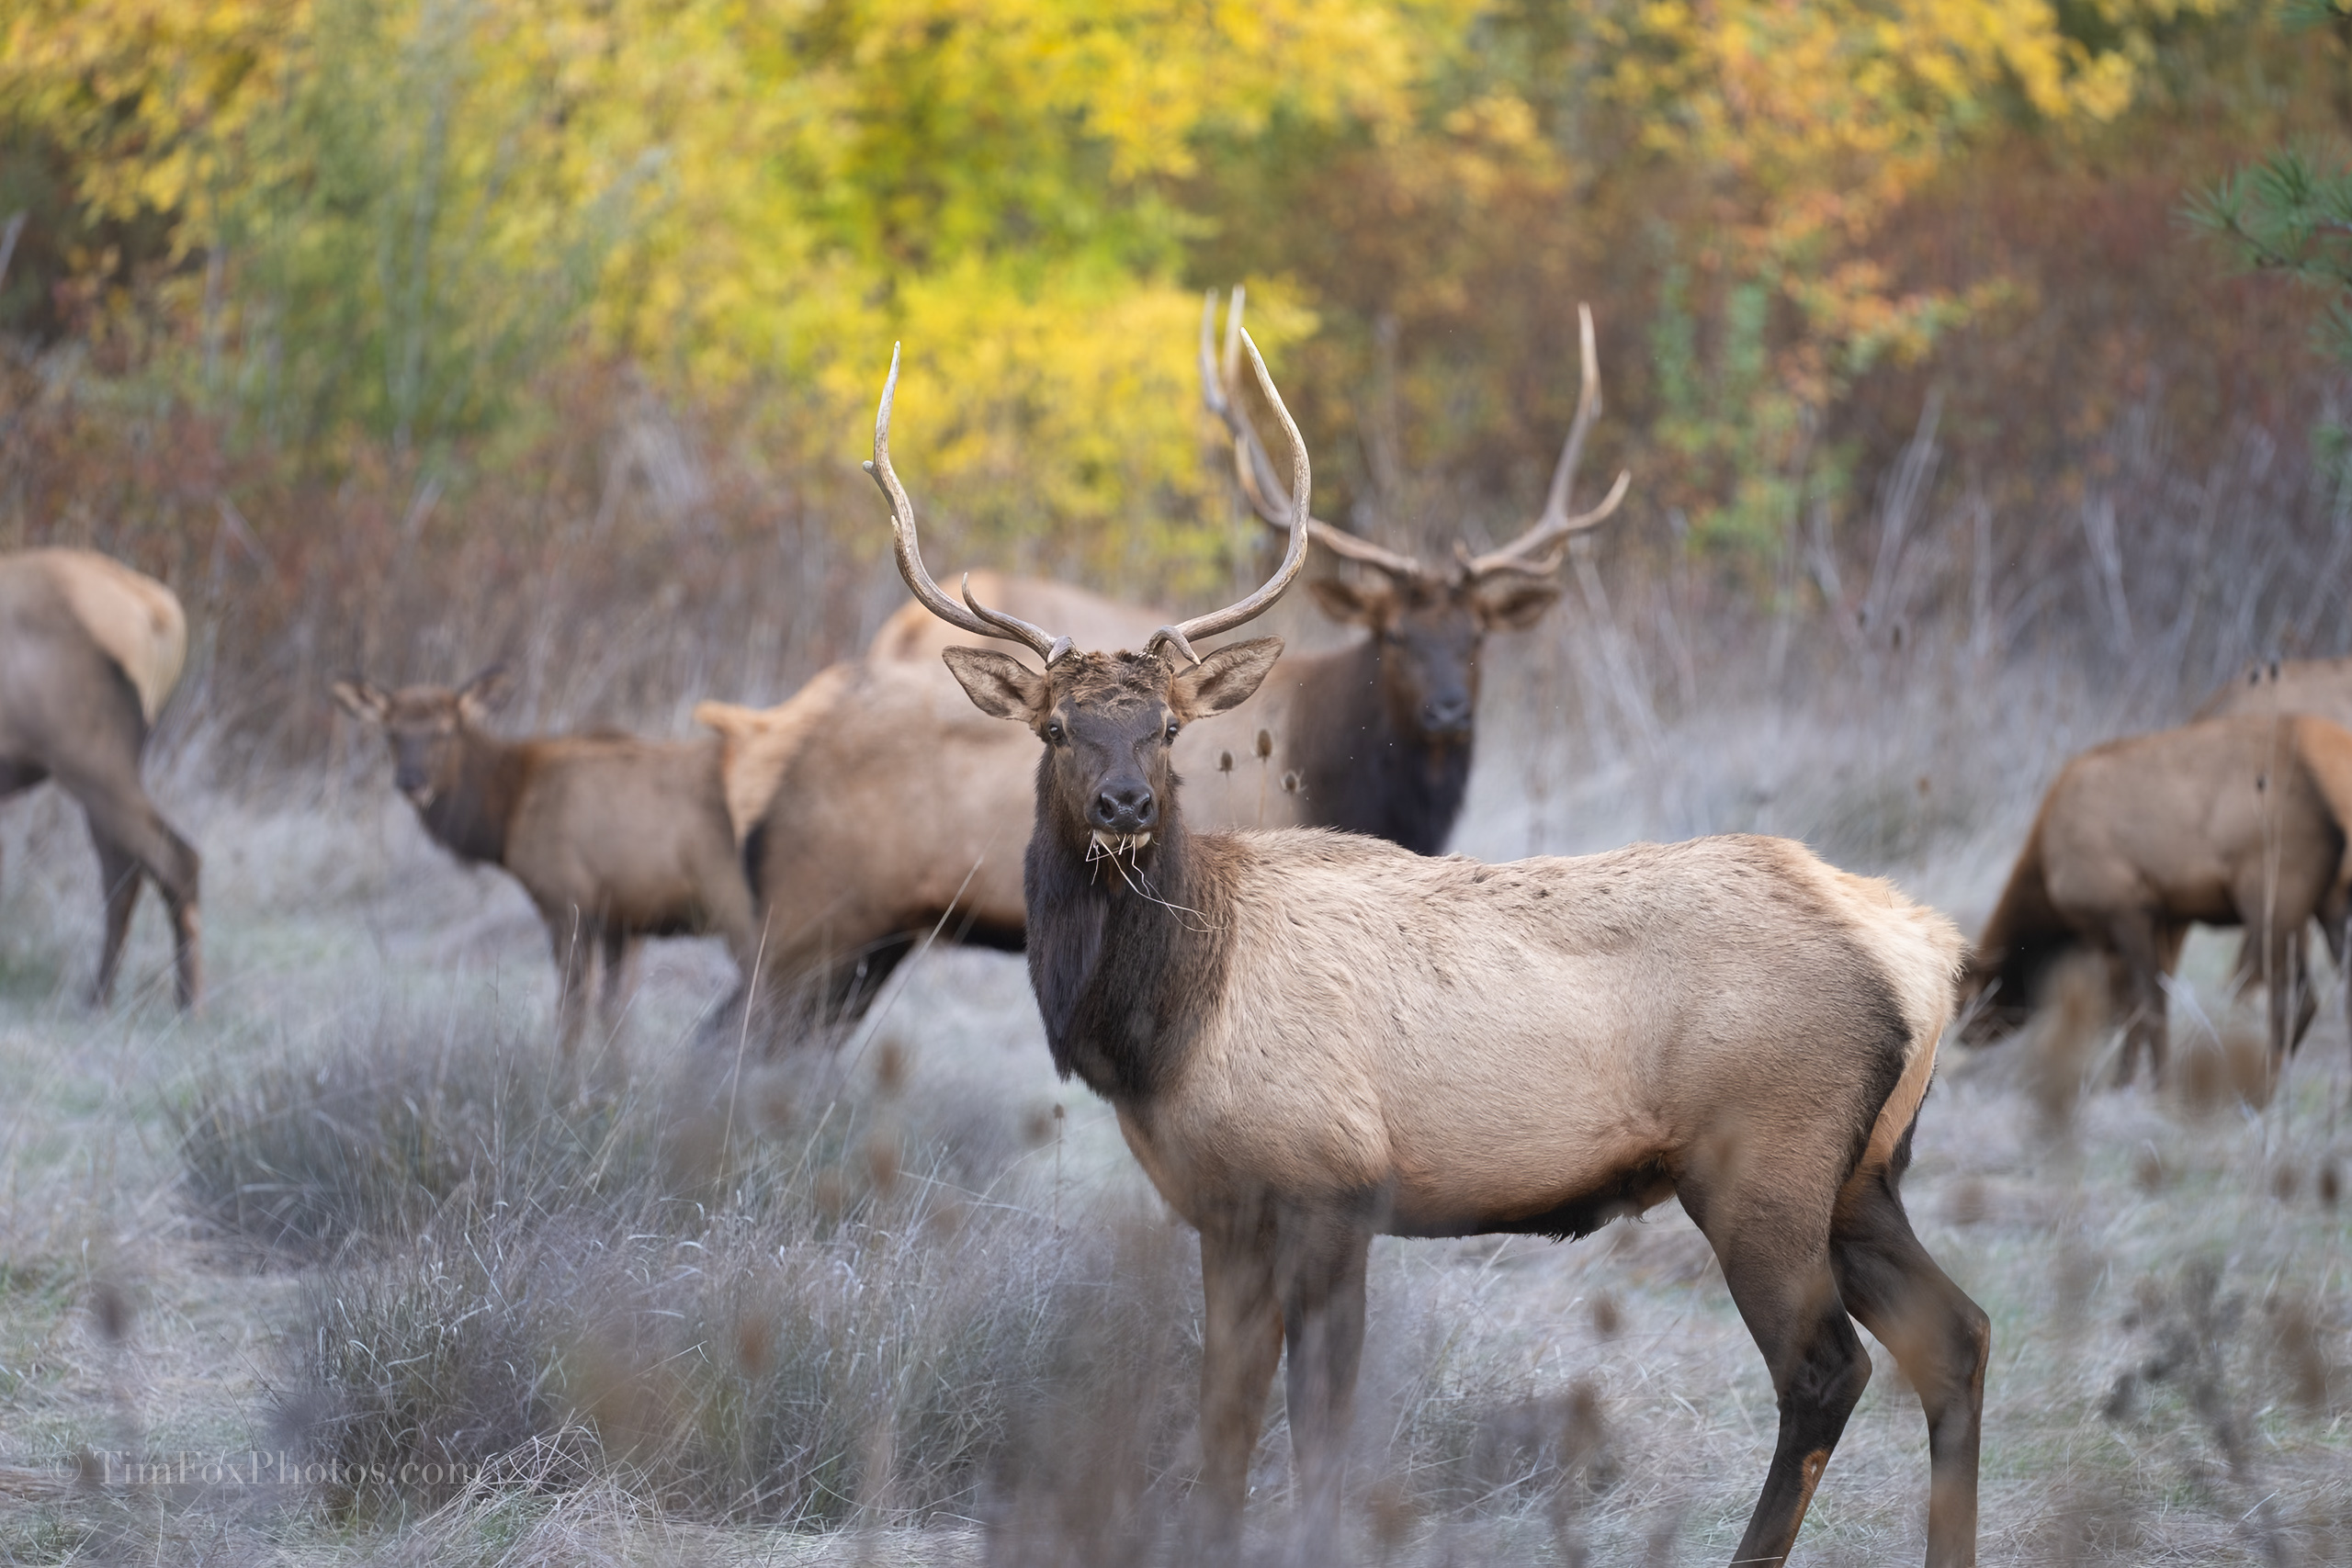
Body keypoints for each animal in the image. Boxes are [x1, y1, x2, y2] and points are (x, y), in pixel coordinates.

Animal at [0, 547, 202, 1007]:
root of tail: (161, 615)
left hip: (90, 758)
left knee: (174, 860)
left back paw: (187, 1006)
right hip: (107, 769)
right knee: (124, 873)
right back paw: (99, 999)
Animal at [332, 669, 757, 1051]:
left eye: (446, 730)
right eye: (391, 732)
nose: (411, 781)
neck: (506, 814)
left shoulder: (566, 900)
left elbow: (573, 1007)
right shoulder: (622, 918)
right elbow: (616, 1012)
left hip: (735, 900)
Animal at [869, 337, 1986, 1567]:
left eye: (1166, 729)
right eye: (1058, 728)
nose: (1124, 805)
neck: (1167, 1025)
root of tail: (1926, 956)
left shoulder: (1331, 1187)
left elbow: (1318, 1430)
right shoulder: (1226, 1209)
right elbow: (1223, 1422)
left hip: (1764, 1163)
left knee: (1828, 1369)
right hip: (1867, 1171)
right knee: (1959, 1336)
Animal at [1962, 714, 2352, 1087]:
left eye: (1966, 997)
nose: (1962, 1036)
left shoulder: (2124, 910)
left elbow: (2147, 1007)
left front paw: (2160, 1087)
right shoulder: (2164, 918)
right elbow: (2135, 1009)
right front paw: (2122, 1083)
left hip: (2271, 896)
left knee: (2290, 999)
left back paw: (2266, 1081)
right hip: (2325, 904)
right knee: (2321, 994)